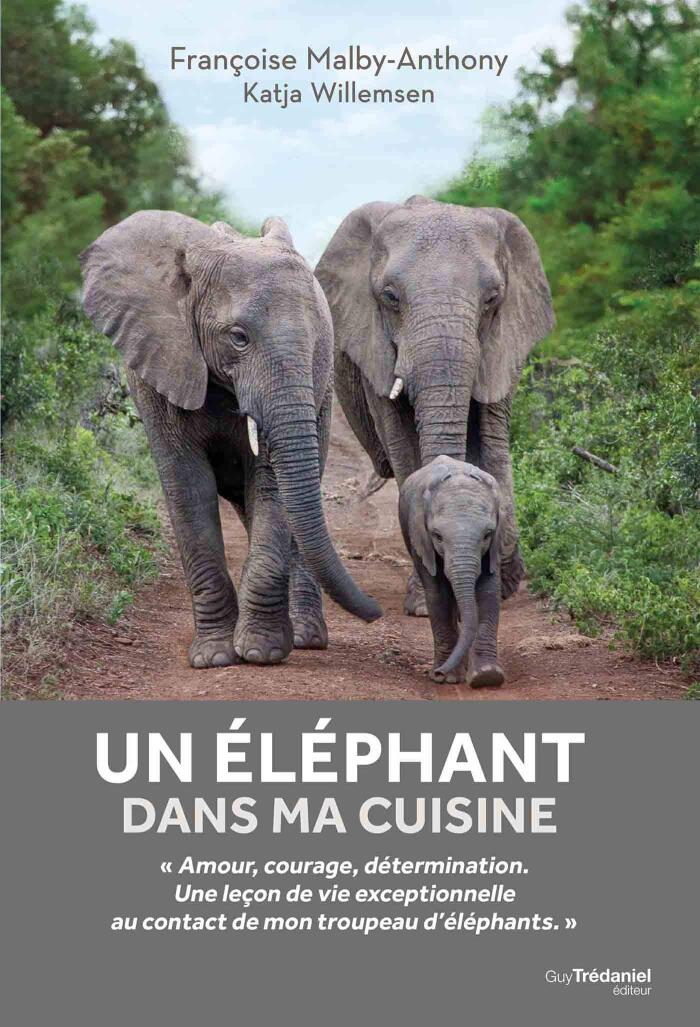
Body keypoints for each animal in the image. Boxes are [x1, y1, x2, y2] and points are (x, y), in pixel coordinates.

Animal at [80, 210, 381, 669]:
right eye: (238, 337)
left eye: (318, 344)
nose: (378, 613)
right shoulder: (158, 366)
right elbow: (188, 490)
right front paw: (213, 657)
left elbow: (271, 487)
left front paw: (260, 651)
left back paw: (306, 637)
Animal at [315, 195, 553, 614]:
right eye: (390, 297)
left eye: (492, 299)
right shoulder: (375, 351)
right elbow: (404, 448)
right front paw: (426, 603)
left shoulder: (503, 343)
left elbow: (493, 444)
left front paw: (501, 583)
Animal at [399, 456, 503, 686]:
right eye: (437, 536)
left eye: (487, 535)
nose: (438, 673)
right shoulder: (421, 539)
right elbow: (438, 595)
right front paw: (448, 678)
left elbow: (489, 592)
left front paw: (487, 676)